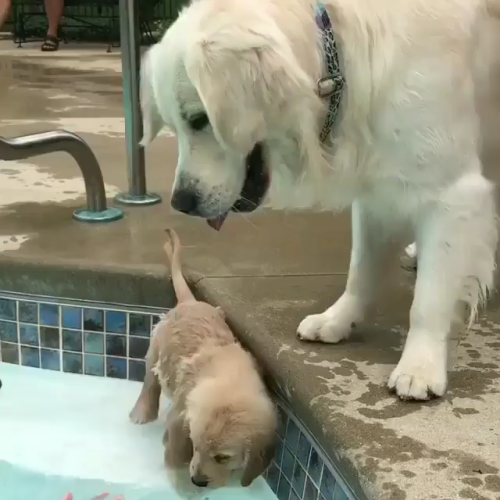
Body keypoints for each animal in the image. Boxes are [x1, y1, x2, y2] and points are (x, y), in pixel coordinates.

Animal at [129, 229, 276, 488]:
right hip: (156, 347)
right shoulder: (181, 411)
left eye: (223, 457)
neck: (230, 379)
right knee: (150, 382)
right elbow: (175, 443)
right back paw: (141, 414)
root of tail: (190, 301)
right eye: (195, 445)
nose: (198, 481)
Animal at [140, 0, 500, 400]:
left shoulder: (452, 192)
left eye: (200, 119)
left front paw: (420, 365)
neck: (338, 49)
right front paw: (338, 320)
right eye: (174, 125)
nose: (181, 201)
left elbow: (429, 299)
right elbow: (360, 271)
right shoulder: (376, 185)